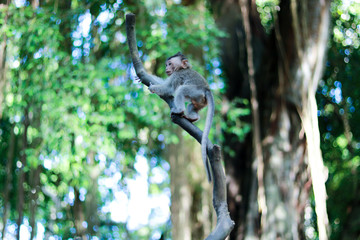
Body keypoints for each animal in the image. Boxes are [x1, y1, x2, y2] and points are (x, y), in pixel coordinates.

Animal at [148, 51, 214, 181]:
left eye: (169, 64)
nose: (166, 68)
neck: (182, 68)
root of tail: (207, 89)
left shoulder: (177, 75)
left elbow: (168, 88)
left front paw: (153, 88)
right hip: (200, 101)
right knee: (191, 106)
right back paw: (192, 117)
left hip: (195, 92)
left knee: (181, 90)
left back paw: (179, 110)